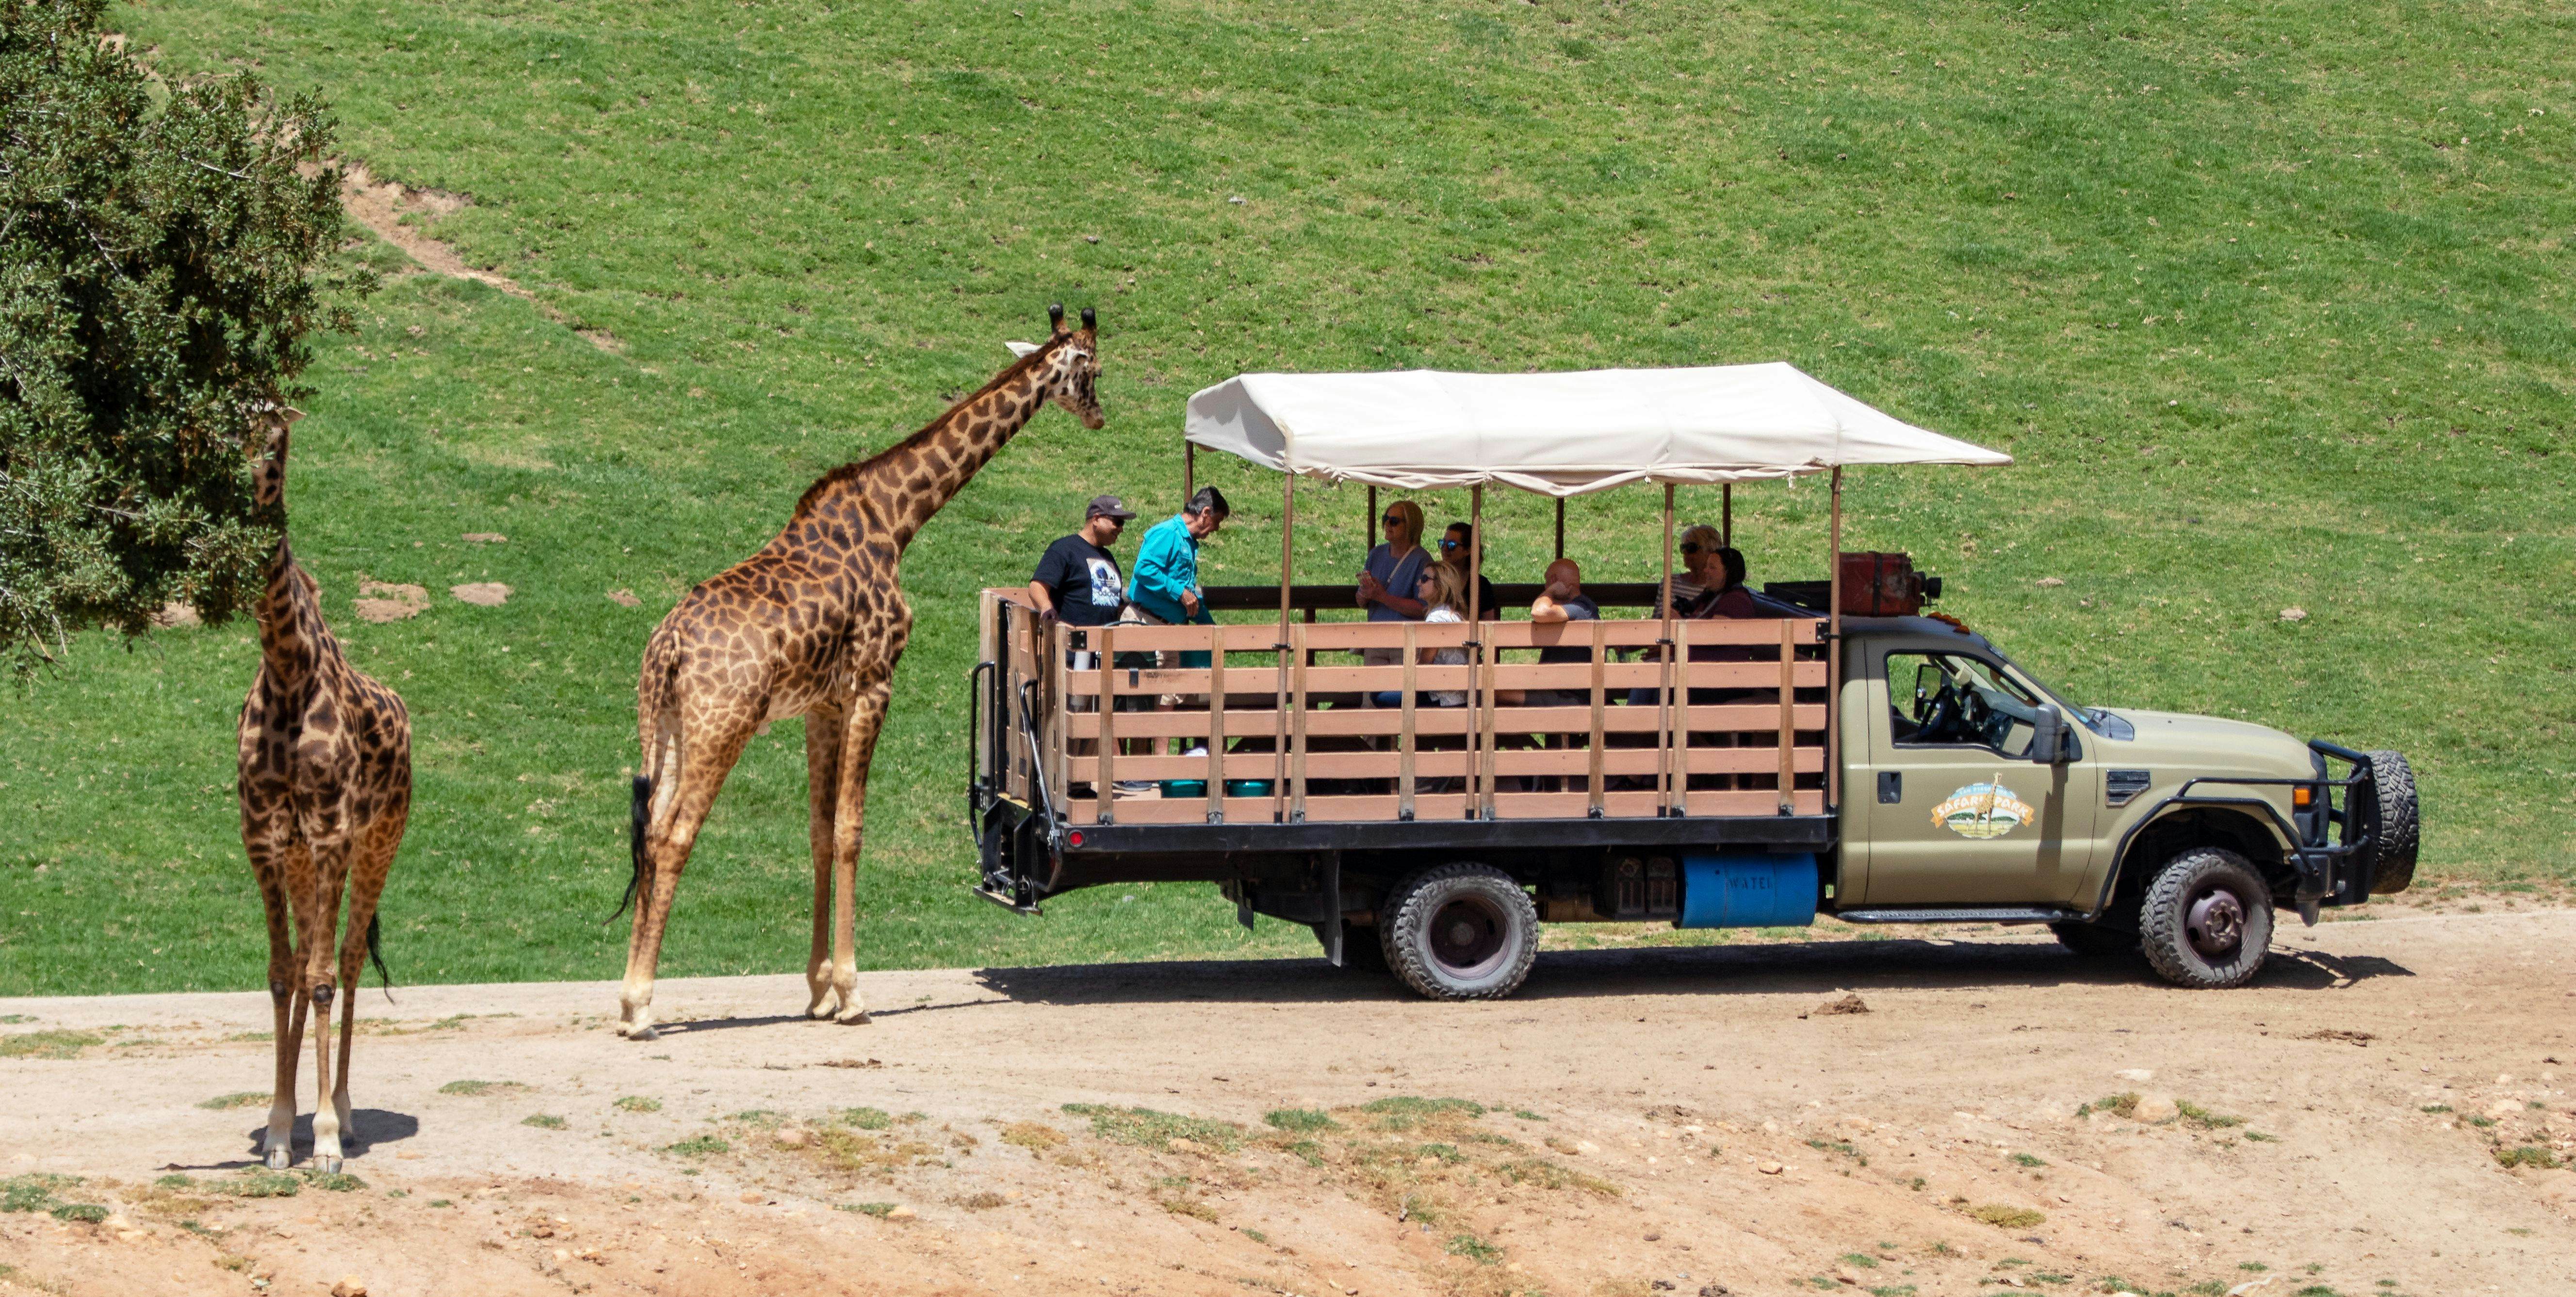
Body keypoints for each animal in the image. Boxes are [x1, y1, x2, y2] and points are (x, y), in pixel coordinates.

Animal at [620, 301, 1108, 1034]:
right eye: (1094, 369)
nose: (1102, 416)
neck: (898, 518)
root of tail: (667, 645)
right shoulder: (876, 681)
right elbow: (851, 831)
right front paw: (852, 994)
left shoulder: (822, 704)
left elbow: (821, 832)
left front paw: (819, 990)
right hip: (721, 722)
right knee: (676, 835)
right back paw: (645, 1007)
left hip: (667, 725)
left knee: (649, 831)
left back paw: (626, 996)